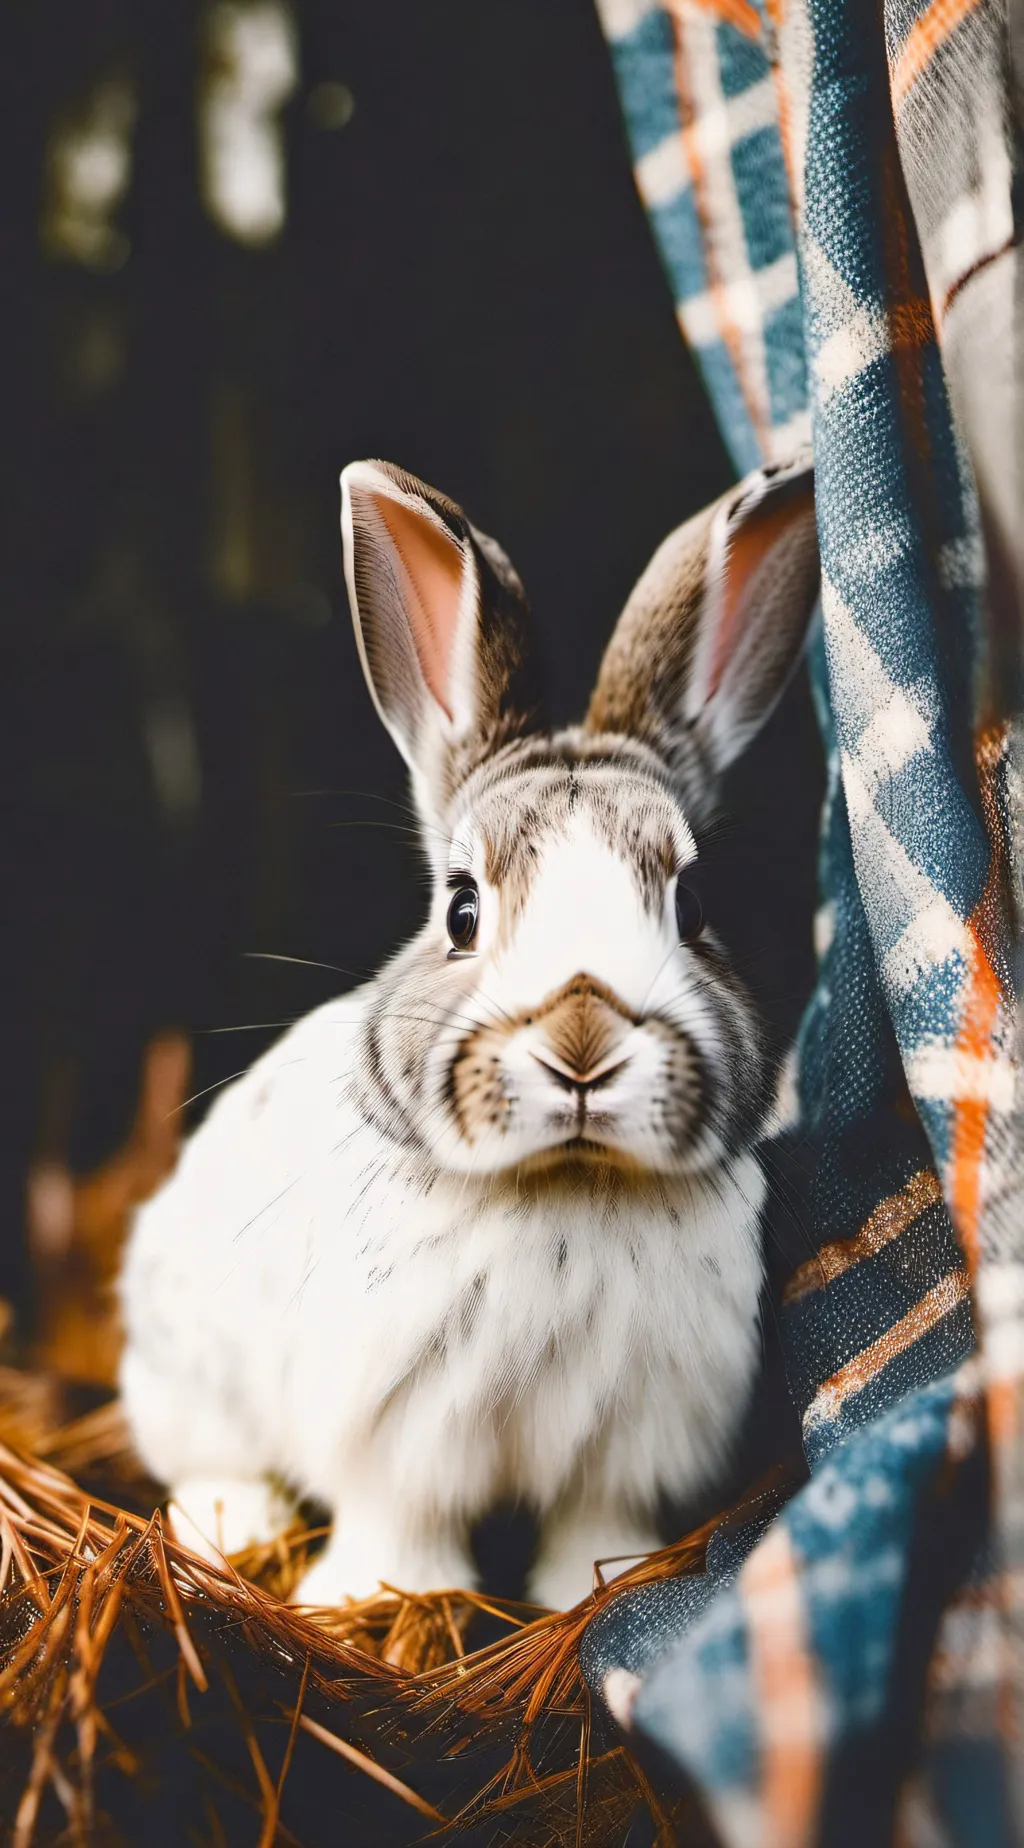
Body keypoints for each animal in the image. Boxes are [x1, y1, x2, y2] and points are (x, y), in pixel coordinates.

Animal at [119, 451, 819, 1612]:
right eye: (460, 911)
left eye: (693, 906)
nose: (582, 1044)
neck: (566, 1185)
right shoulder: (398, 1429)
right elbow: (400, 1526)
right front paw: (373, 1599)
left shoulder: (634, 1434)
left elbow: (597, 1527)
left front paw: (588, 1592)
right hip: (189, 1372)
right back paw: (235, 1525)